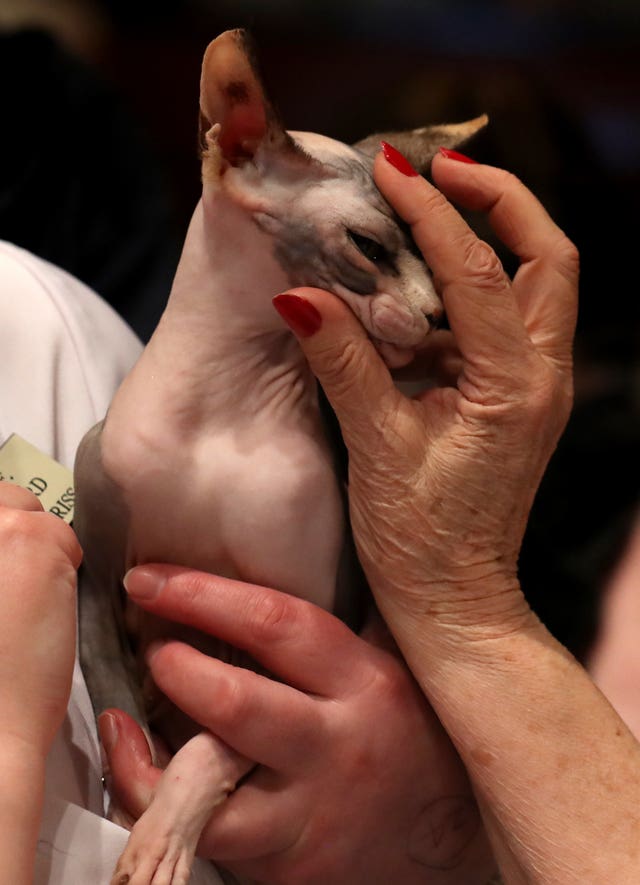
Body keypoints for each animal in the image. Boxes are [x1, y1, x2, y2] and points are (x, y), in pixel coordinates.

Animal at [74, 27, 484, 884]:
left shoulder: (307, 614)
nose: (437, 318)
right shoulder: (97, 576)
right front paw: (133, 795)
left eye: (428, 255)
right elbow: (118, 699)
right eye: (370, 246)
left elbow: (216, 745)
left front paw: (165, 830)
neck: (214, 416)